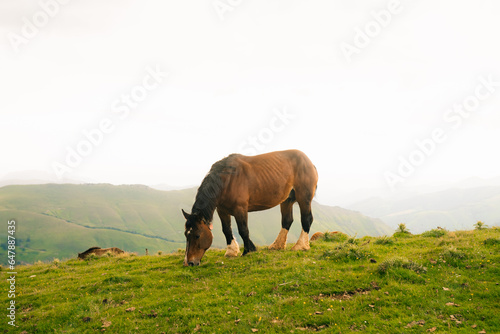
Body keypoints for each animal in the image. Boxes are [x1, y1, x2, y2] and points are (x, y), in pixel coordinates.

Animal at [182, 149, 318, 266]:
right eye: (186, 235)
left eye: (197, 235)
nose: (189, 262)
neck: (227, 179)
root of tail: (309, 162)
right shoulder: (222, 210)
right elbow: (226, 230)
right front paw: (231, 251)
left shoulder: (240, 209)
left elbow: (243, 230)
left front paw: (247, 251)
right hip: (287, 200)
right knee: (287, 221)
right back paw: (276, 246)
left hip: (303, 198)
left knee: (306, 219)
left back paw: (300, 246)